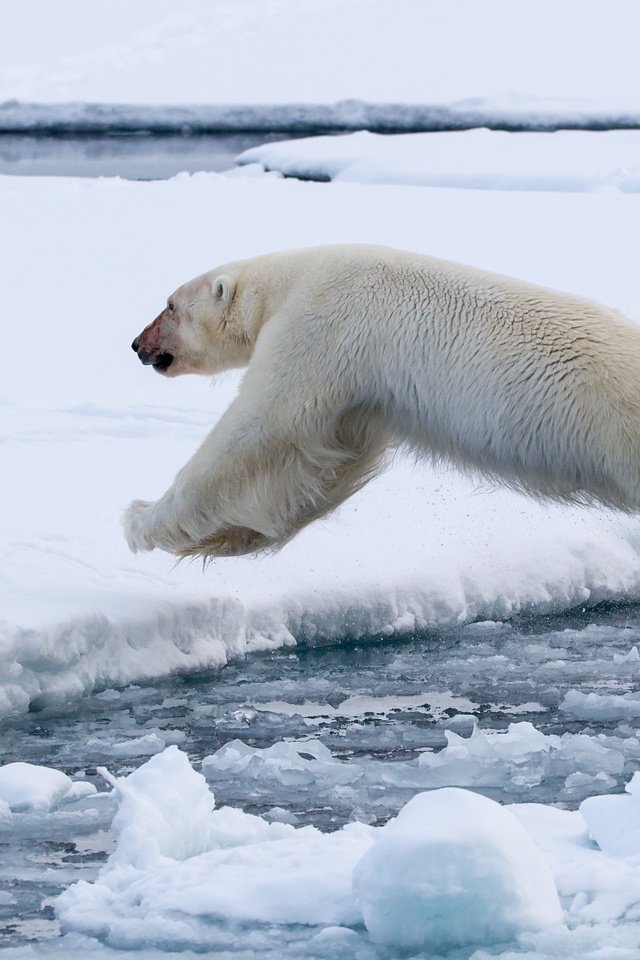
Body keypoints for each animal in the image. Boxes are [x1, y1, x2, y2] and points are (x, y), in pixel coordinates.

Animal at [122, 246, 640, 564]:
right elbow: (321, 467)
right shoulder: (363, 396)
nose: (137, 344)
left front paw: (139, 520)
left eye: (170, 306)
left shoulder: (316, 328)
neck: (288, 282)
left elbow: (260, 434)